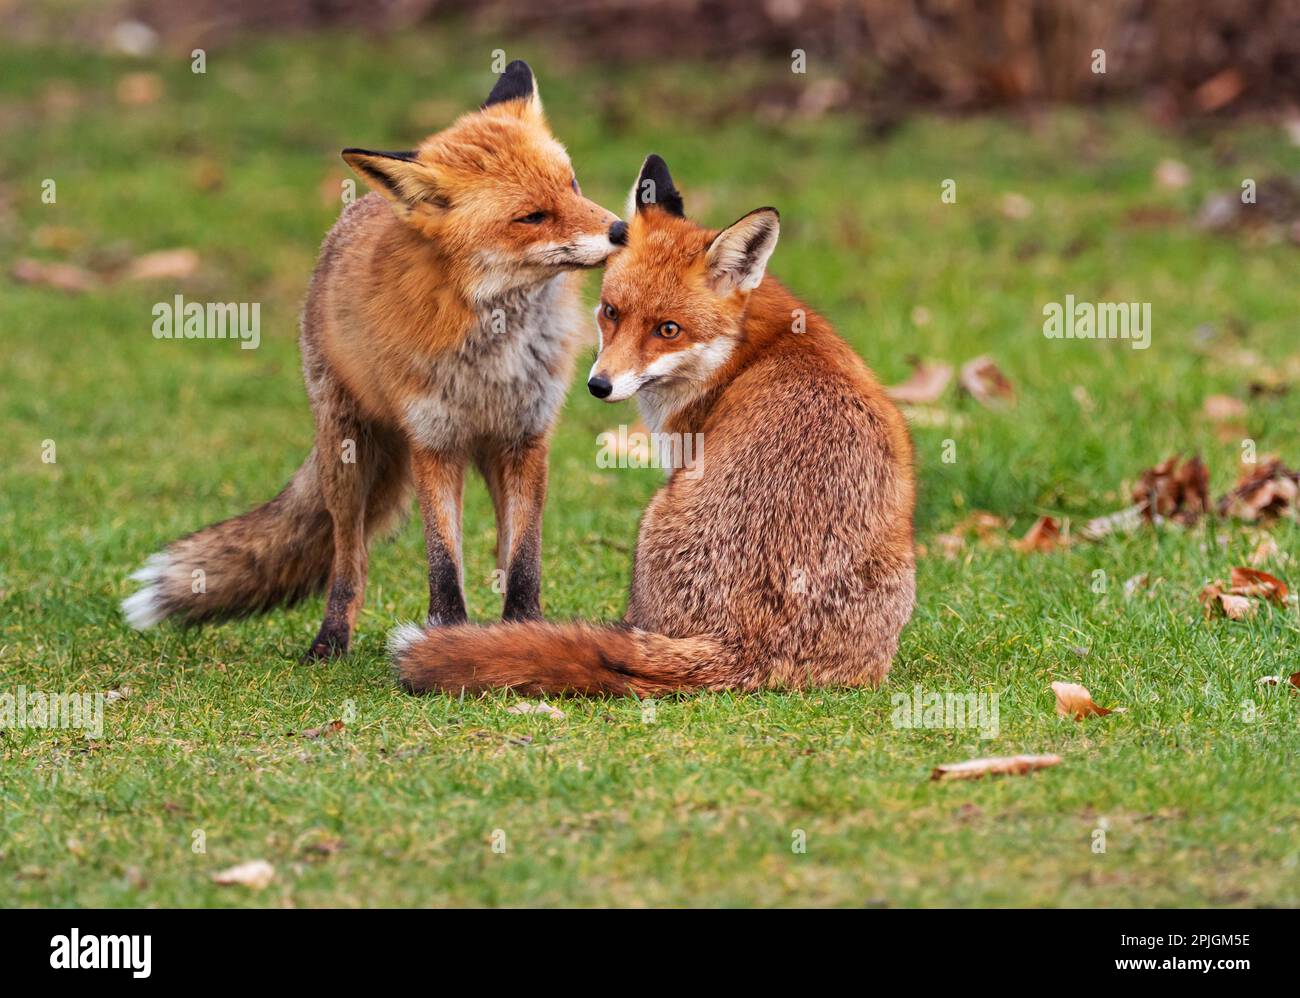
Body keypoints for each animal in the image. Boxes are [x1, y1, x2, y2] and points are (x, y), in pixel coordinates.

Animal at [124, 58, 626, 660]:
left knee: (501, 550)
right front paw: (445, 633)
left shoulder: (527, 438)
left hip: (484, 454)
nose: (623, 230)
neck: (494, 341)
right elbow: (443, 563)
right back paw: (330, 640)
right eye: (532, 216)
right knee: (349, 560)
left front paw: (521, 631)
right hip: (348, 459)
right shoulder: (433, 442)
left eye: (572, 184)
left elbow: (524, 560)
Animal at [390, 155, 920, 696]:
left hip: (654, 516)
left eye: (668, 330)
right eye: (610, 312)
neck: (746, 349)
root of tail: (743, 647)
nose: (598, 385)